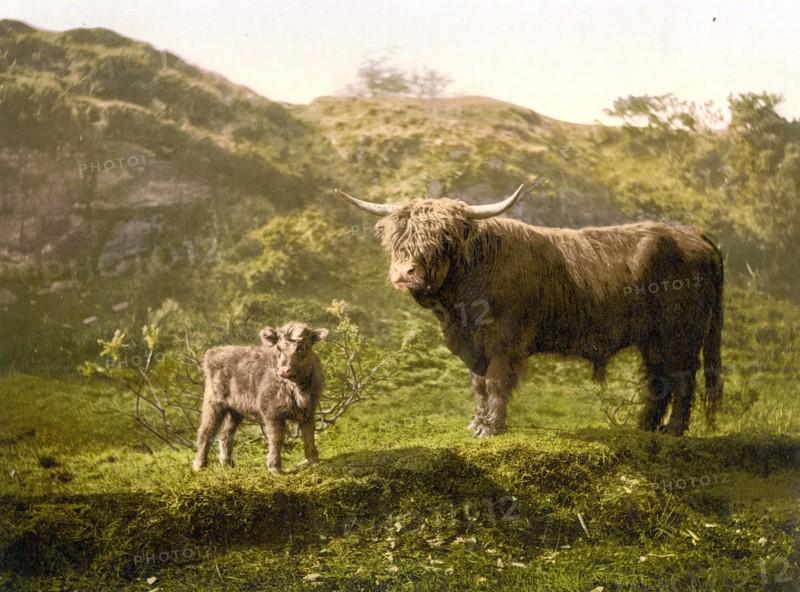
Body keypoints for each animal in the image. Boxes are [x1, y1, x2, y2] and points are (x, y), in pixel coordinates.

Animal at [192, 322, 329, 474]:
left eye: (302, 348)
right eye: (278, 348)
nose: (284, 370)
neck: (297, 388)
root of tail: (214, 351)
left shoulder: (309, 411)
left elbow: (309, 434)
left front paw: (314, 461)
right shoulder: (271, 412)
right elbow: (276, 438)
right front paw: (275, 468)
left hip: (235, 409)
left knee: (226, 434)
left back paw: (227, 464)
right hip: (214, 402)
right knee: (206, 431)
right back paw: (200, 466)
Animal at [335, 181, 723, 437]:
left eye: (442, 238)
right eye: (396, 237)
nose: (404, 272)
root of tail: (693, 235)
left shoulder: (504, 340)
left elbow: (495, 381)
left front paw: (490, 428)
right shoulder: (471, 343)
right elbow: (478, 384)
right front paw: (476, 423)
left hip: (681, 333)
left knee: (681, 376)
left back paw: (672, 431)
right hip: (652, 338)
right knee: (657, 377)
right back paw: (643, 428)